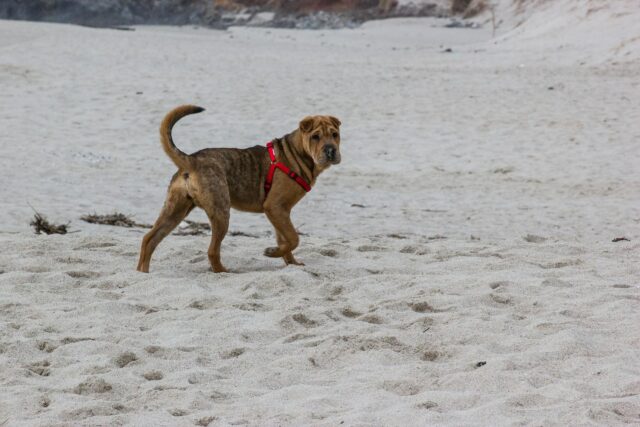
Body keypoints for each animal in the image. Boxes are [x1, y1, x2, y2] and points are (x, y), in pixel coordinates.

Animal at [137, 107, 342, 274]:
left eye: (335, 134)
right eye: (315, 137)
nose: (331, 151)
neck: (297, 154)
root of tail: (192, 160)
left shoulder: (281, 212)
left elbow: (285, 240)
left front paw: (289, 262)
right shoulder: (275, 207)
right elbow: (293, 238)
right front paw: (272, 253)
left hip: (175, 210)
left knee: (149, 239)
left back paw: (143, 273)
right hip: (220, 212)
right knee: (212, 251)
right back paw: (223, 272)